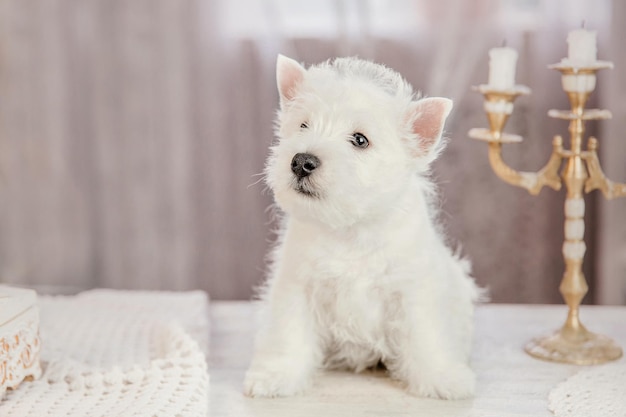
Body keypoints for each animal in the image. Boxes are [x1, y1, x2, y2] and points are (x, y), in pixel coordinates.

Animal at [241, 55, 480, 400]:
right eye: (303, 125)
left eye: (360, 140)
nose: (301, 161)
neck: (350, 228)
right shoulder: (297, 286)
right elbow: (289, 333)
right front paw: (274, 376)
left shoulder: (413, 291)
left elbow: (426, 335)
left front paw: (442, 378)